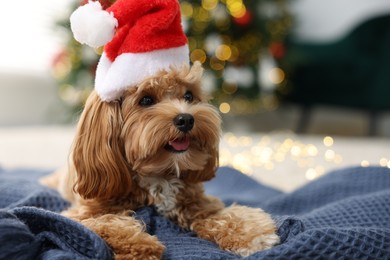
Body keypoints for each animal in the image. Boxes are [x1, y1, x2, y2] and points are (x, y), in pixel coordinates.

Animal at [42, 62, 280, 258]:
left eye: (189, 96)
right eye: (146, 100)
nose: (186, 119)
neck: (158, 174)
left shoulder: (196, 203)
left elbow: (222, 215)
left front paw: (250, 235)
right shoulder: (81, 214)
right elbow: (107, 223)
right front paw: (140, 246)